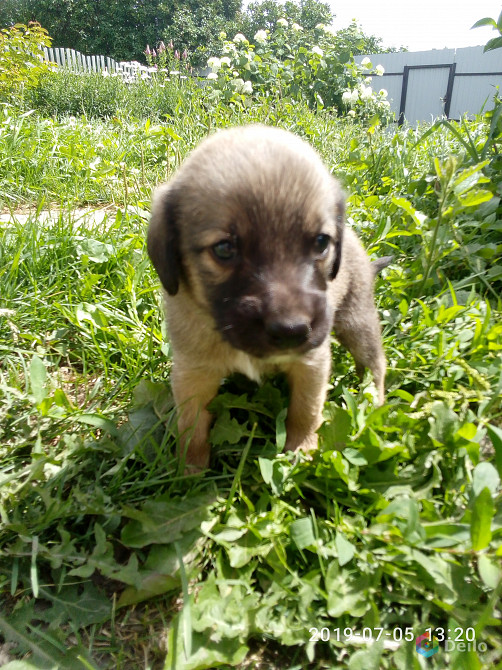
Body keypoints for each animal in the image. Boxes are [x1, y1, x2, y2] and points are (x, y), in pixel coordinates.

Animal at [147, 127, 386, 472]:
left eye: (321, 242)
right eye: (224, 248)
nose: (292, 331)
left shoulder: (312, 362)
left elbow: (305, 411)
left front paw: (301, 448)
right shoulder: (193, 372)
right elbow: (192, 425)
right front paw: (188, 468)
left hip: (358, 321)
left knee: (375, 364)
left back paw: (375, 404)